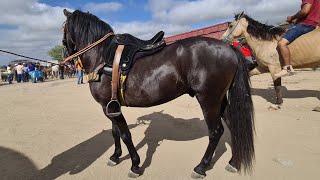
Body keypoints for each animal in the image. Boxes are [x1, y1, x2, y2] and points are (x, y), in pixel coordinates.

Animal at [61, 9, 254, 178]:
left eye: (63, 30)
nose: (66, 59)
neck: (102, 56)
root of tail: (228, 48)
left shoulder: (109, 107)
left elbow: (125, 134)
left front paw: (135, 165)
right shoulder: (110, 106)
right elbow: (115, 132)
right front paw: (115, 157)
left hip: (208, 100)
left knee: (215, 131)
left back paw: (201, 167)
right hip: (220, 100)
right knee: (233, 127)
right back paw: (234, 162)